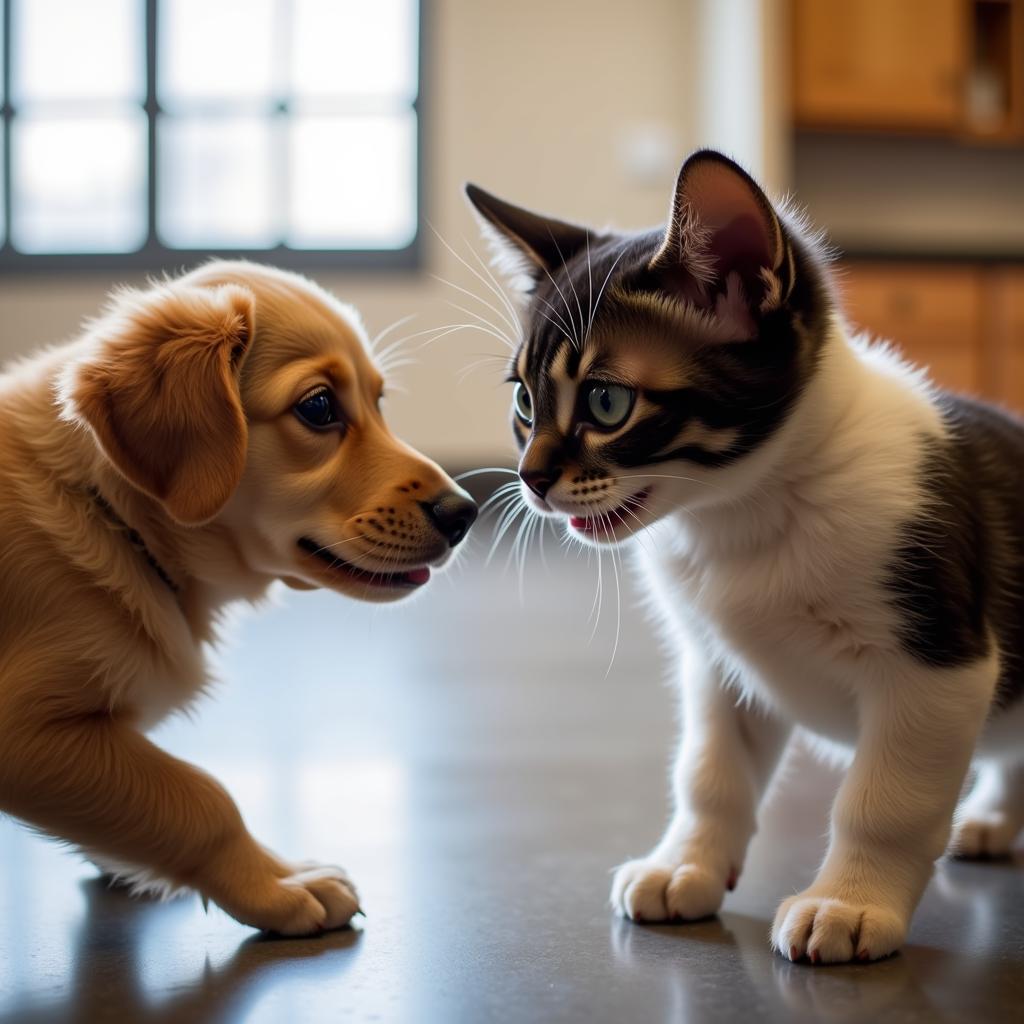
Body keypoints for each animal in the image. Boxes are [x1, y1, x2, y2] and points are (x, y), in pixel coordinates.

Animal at [0, 262, 475, 937]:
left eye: (379, 400)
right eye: (319, 406)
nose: (465, 514)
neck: (113, 516)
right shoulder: (23, 728)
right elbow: (200, 797)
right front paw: (277, 886)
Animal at [466, 148, 1024, 962]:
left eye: (607, 403)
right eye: (524, 404)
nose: (529, 480)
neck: (746, 514)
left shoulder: (938, 662)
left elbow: (885, 801)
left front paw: (851, 902)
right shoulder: (719, 663)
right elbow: (709, 773)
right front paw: (684, 867)